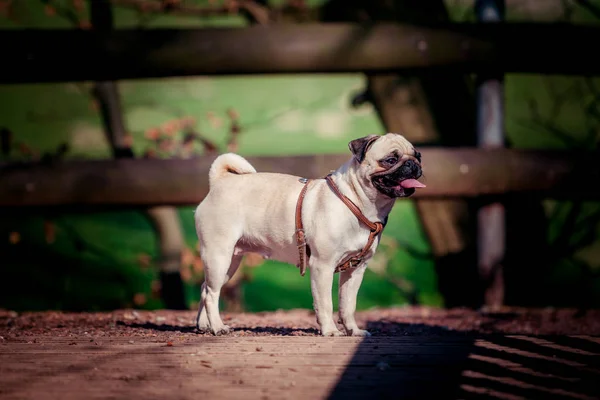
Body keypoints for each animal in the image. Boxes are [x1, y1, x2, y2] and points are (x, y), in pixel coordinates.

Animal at [195, 133, 424, 336]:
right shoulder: (322, 266)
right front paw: (330, 331)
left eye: (418, 155)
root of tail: (219, 182)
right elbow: (325, 303)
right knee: (212, 293)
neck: (355, 201)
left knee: (205, 288)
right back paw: (218, 327)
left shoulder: (355, 270)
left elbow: (348, 305)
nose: (413, 164)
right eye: (390, 159)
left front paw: (353, 331)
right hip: (219, 256)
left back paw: (204, 326)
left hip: (230, 262)